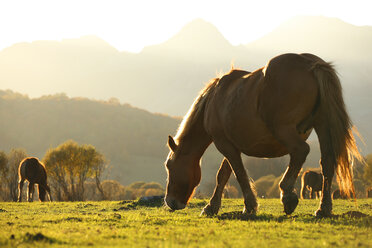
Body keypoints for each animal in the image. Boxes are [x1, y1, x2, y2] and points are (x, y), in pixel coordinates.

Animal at [164, 52, 362, 217]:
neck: (213, 100)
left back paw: (287, 195)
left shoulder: (225, 144)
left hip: (284, 130)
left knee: (301, 151)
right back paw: (323, 208)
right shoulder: (232, 145)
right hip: (322, 125)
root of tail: (310, 63)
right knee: (327, 161)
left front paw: (249, 206)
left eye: (169, 166)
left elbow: (238, 174)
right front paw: (212, 207)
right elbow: (224, 174)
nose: (170, 202)